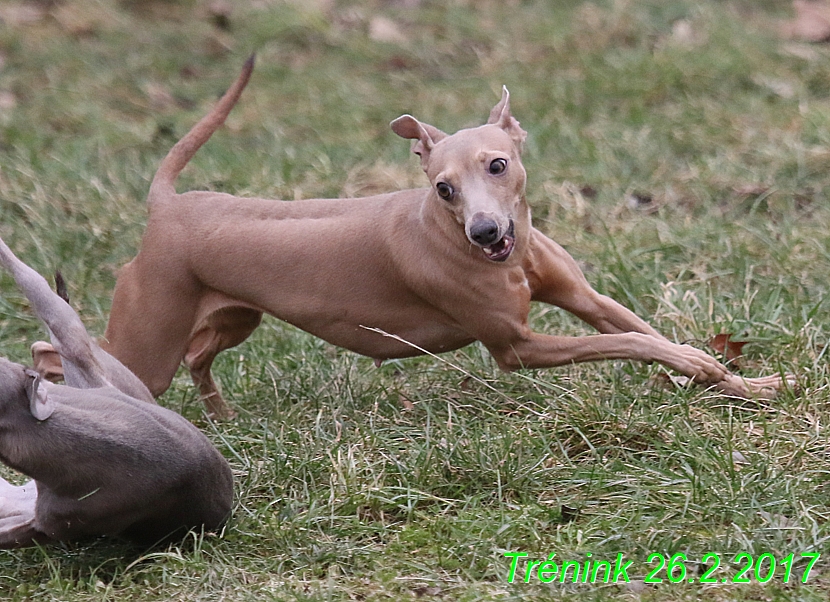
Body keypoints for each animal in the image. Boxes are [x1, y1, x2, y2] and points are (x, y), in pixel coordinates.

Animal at [34, 59, 792, 418]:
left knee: (196, 356)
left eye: (498, 164)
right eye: (442, 188)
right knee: (61, 350)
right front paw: (703, 368)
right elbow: (637, 343)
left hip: (230, 317)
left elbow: (649, 334)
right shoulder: (517, 347)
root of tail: (168, 202)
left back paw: (219, 417)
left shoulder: (584, 299)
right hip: (148, 338)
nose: (486, 231)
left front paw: (747, 382)